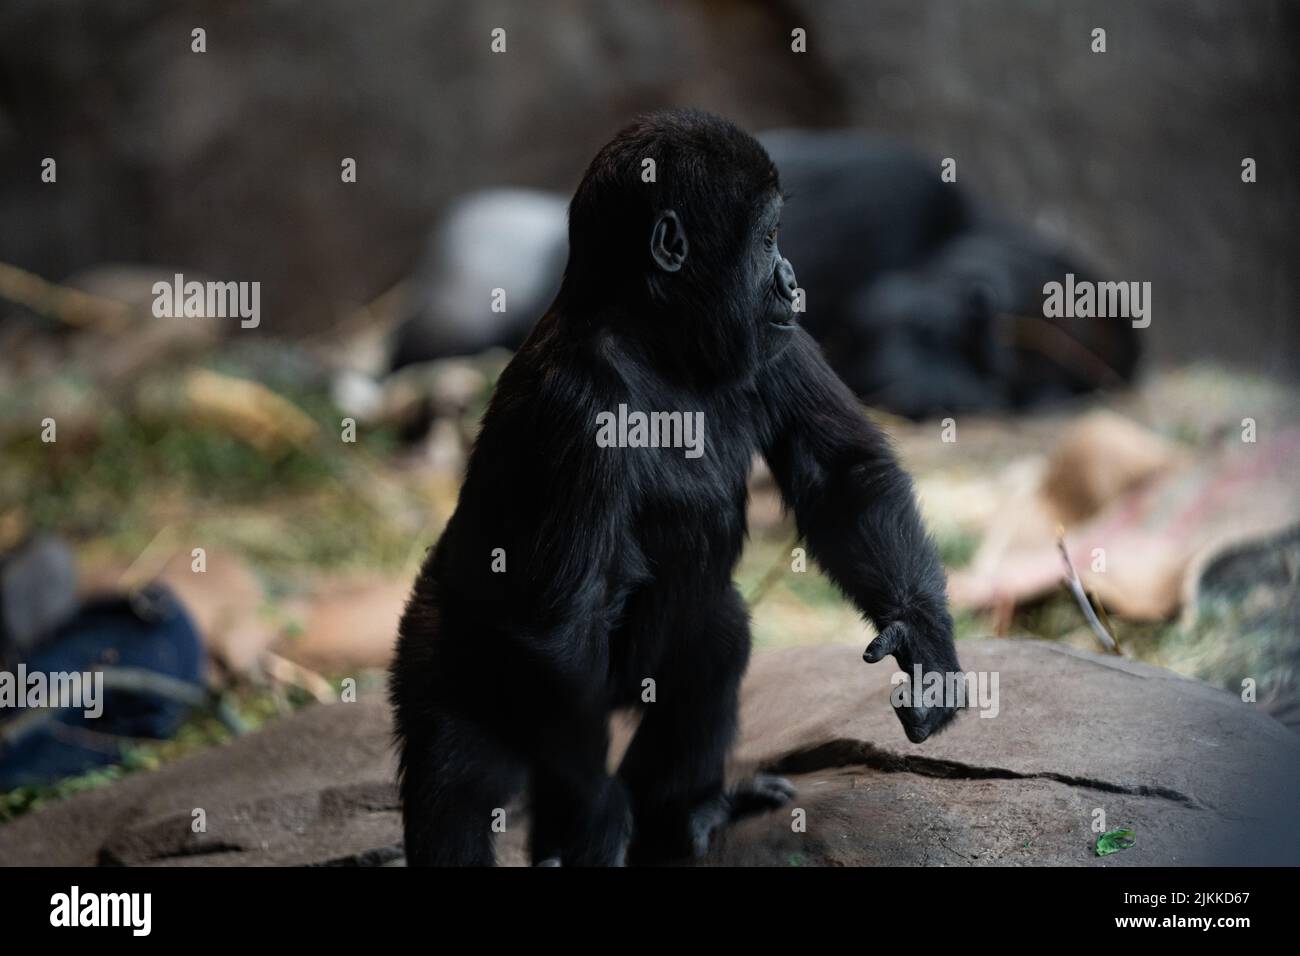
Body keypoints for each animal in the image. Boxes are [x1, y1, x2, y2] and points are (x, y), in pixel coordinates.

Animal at [390, 111, 961, 868]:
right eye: (769, 237)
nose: (790, 278)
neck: (653, 338)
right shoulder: (575, 407)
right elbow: (555, 623)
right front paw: (596, 814)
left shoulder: (777, 341)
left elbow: (843, 475)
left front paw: (924, 645)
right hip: (445, 644)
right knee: (455, 784)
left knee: (714, 643)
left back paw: (685, 814)